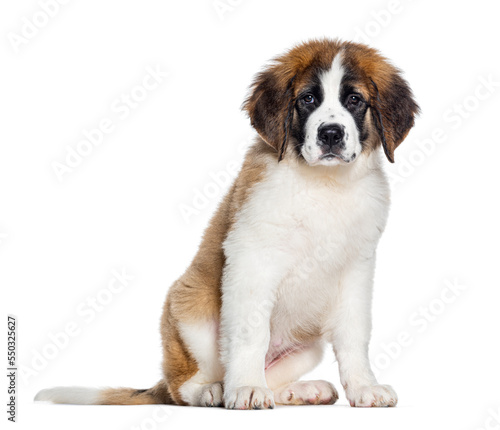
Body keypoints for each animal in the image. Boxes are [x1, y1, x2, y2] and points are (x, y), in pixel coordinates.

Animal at [35, 39, 418, 410]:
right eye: (307, 99)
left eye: (355, 100)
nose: (331, 134)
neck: (324, 185)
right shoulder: (252, 258)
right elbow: (252, 333)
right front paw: (246, 388)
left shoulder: (356, 269)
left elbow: (354, 335)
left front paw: (364, 387)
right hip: (190, 310)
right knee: (183, 386)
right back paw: (214, 391)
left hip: (307, 348)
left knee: (272, 376)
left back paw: (300, 390)